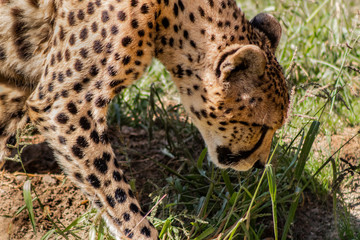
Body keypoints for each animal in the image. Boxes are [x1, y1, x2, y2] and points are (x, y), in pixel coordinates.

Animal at [0, 0, 288, 238]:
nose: (261, 164)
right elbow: (114, 192)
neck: (170, 17)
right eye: (262, 128)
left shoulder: (20, 80)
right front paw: (142, 232)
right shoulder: (66, 104)